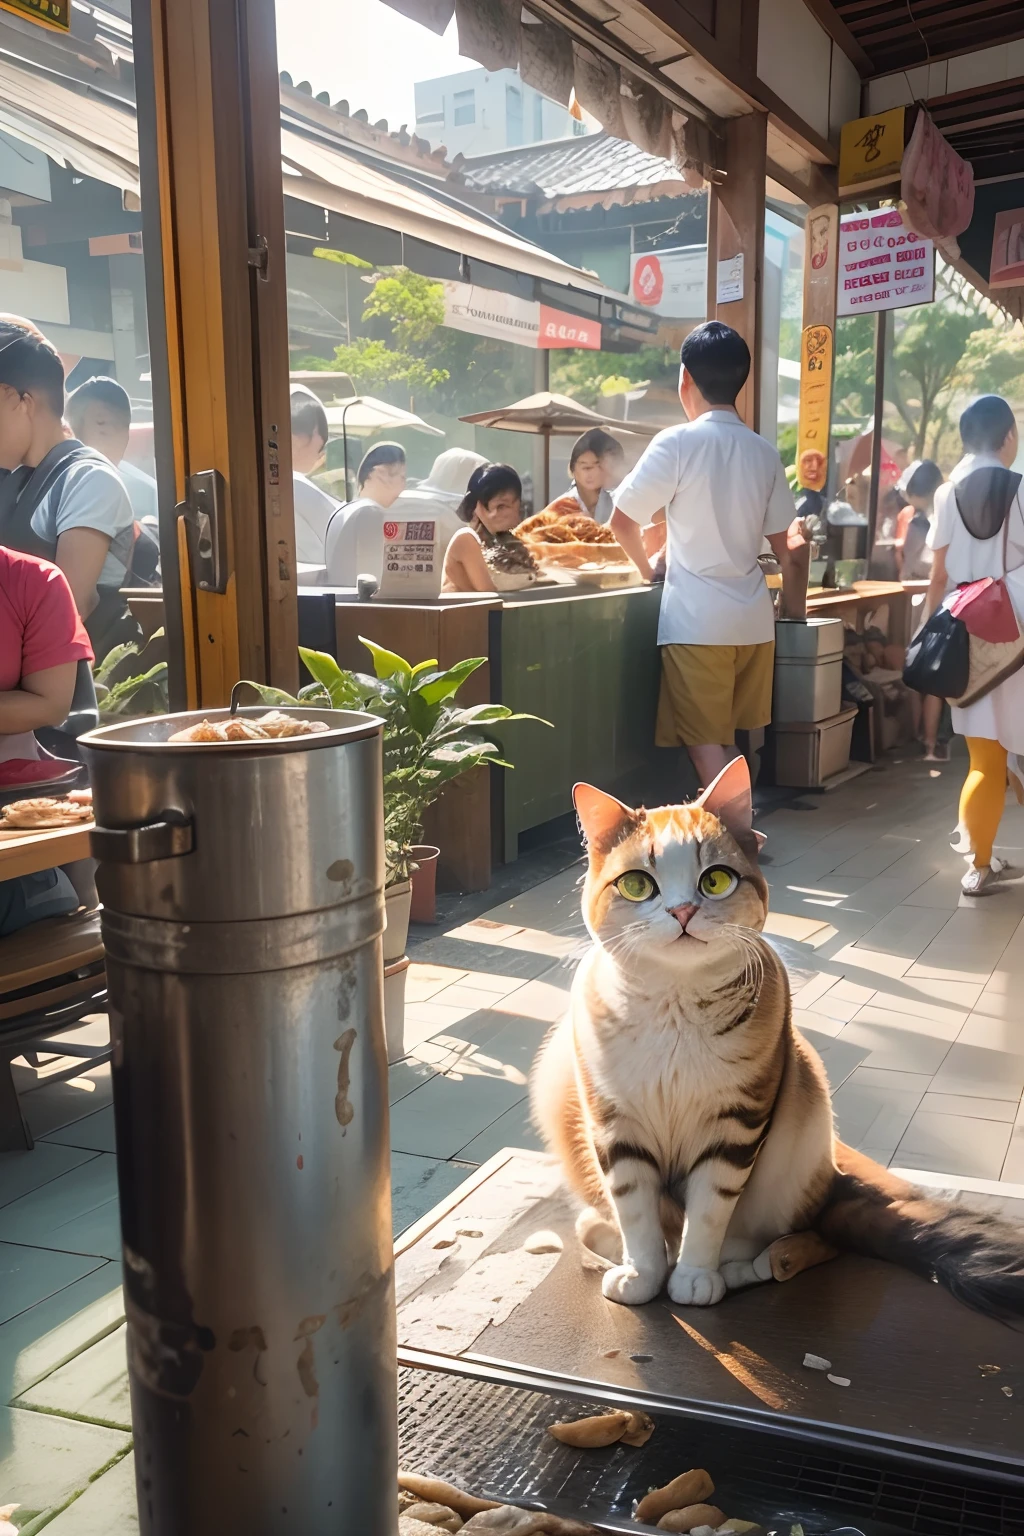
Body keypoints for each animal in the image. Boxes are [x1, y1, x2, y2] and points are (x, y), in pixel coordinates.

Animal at [534, 761, 1024, 1314]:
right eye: (638, 885)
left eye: (715, 880)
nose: (682, 912)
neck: (675, 1010)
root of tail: (834, 1181)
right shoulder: (614, 1124)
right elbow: (636, 1213)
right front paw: (643, 1272)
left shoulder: (736, 1123)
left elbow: (708, 1213)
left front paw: (694, 1275)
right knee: (605, 1223)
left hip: (803, 1112)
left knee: (807, 1243)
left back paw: (741, 1267)